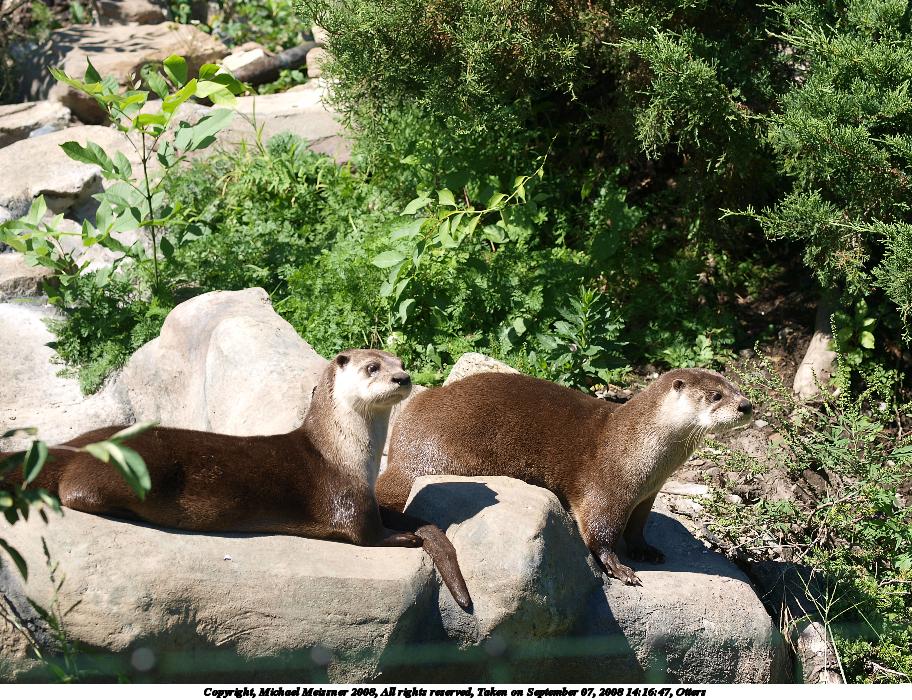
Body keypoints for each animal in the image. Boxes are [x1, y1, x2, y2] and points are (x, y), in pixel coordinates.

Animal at [0, 349, 471, 608]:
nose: (402, 377)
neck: (346, 455)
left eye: (401, 362)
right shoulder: (348, 500)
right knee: (73, 491)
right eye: (373, 367)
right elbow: (368, 534)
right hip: (125, 469)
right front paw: (404, 538)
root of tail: (69, 448)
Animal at [377, 368, 752, 585]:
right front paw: (618, 568)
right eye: (715, 395)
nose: (746, 406)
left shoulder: (647, 495)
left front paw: (646, 550)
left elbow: (637, 528)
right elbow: (599, 532)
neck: (635, 446)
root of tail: (401, 451)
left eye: (736, 387)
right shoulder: (608, 489)